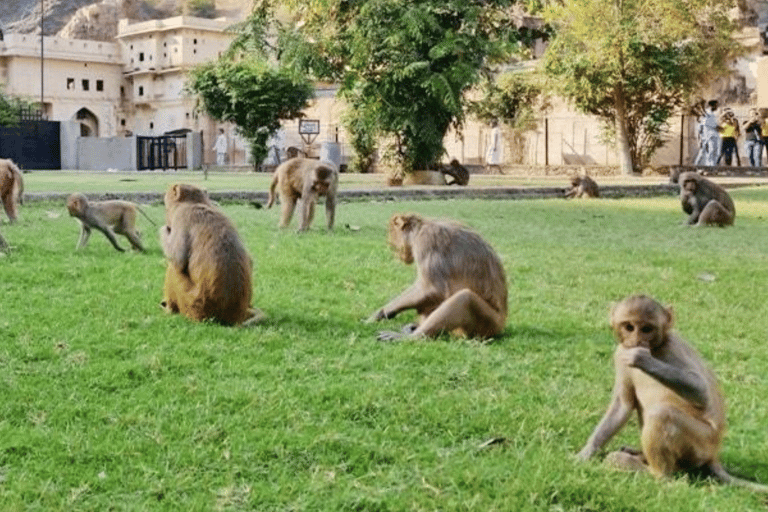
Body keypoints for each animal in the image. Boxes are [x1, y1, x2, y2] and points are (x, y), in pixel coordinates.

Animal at [159, 184, 264, 326]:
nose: (167, 219)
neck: (196, 202)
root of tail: (232, 316)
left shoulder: (181, 216)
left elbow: (178, 259)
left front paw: (163, 230)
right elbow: (250, 260)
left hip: (192, 303)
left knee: (173, 269)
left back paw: (169, 309)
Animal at [368, 212, 510, 340]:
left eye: (393, 246)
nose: (398, 257)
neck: (419, 230)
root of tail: (502, 323)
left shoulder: (427, 241)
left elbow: (434, 289)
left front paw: (385, 311)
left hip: (488, 324)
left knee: (465, 298)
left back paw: (414, 336)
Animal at [576, 296, 768, 492]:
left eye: (646, 329)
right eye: (629, 327)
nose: (636, 340)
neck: (656, 348)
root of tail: (713, 454)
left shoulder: (672, 347)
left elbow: (701, 390)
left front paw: (643, 360)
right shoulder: (621, 352)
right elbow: (622, 405)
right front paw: (587, 452)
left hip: (701, 443)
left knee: (661, 414)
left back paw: (654, 473)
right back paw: (639, 456)